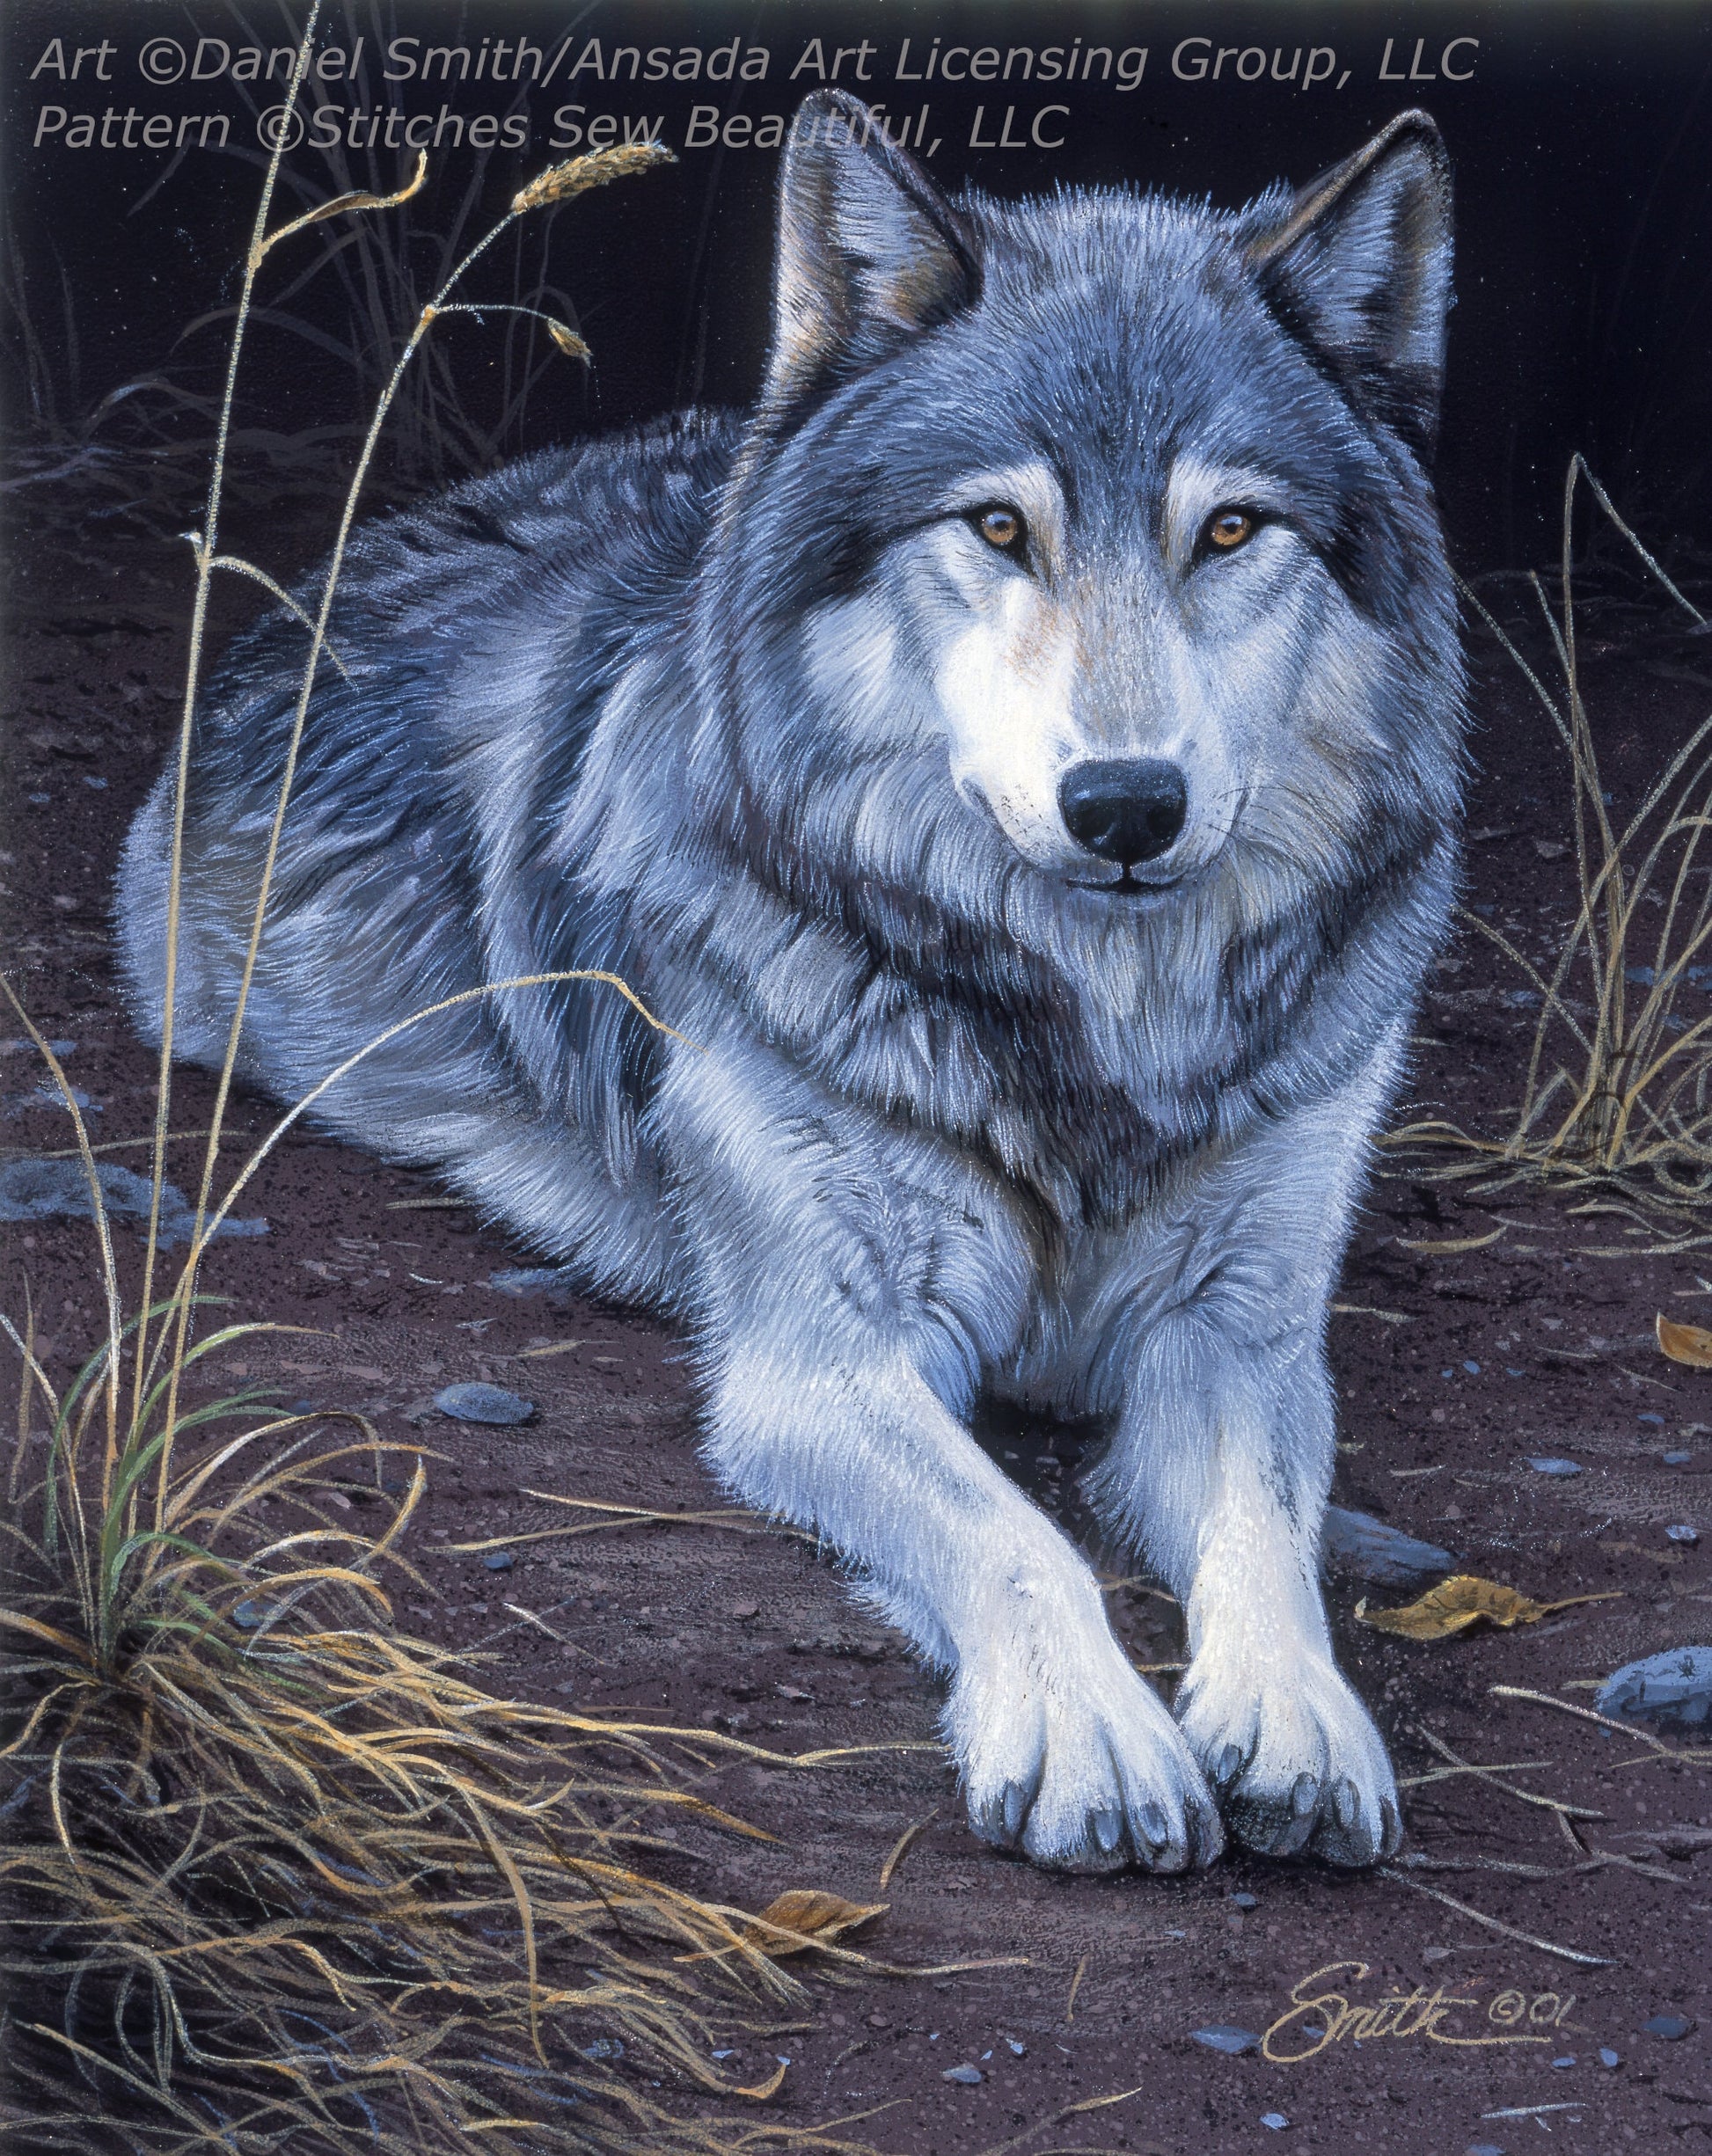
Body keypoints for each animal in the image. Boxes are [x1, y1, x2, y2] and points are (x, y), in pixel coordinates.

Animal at [117, 90, 1463, 1873]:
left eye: (1230, 528)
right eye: (997, 526)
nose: (1124, 805)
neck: (1090, 1051)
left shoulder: (1231, 1338)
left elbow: (1267, 1531)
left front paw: (1296, 1717)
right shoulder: (824, 1361)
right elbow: (1020, 1533)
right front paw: (1097, 1735)